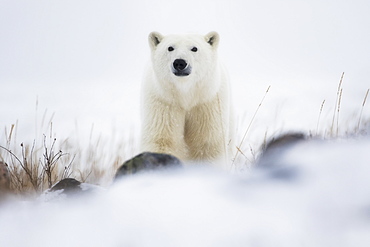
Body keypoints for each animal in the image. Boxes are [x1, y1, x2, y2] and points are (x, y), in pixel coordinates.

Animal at [140, 31, 233, 166]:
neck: (185, 94)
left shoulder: (207, 102)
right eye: (170, 48)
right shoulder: (164, 102)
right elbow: (163, 140)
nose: (180, 63)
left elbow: (207, 144)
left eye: (194, 48)